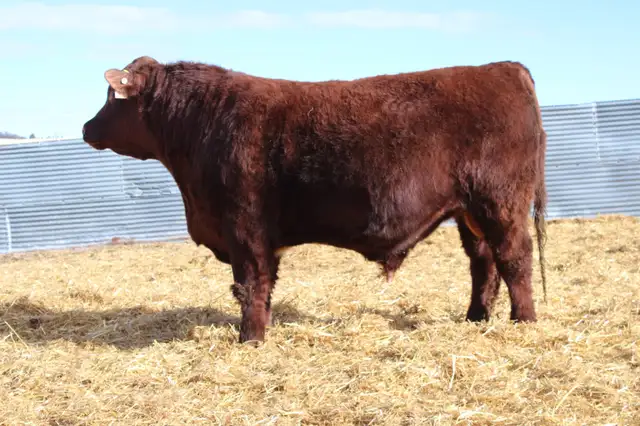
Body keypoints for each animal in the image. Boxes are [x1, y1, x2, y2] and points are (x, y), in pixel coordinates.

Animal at [82, 56, 548, 344]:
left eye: (111, 99)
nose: (87, 128)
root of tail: (504, 68)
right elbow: (264, 286)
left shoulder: (244, 226)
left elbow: (250, 283)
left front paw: (250, 339)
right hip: (469, 211)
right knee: (483, 262)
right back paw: (476, 317)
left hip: (500, 202)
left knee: (514, 257)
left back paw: (523, 320)